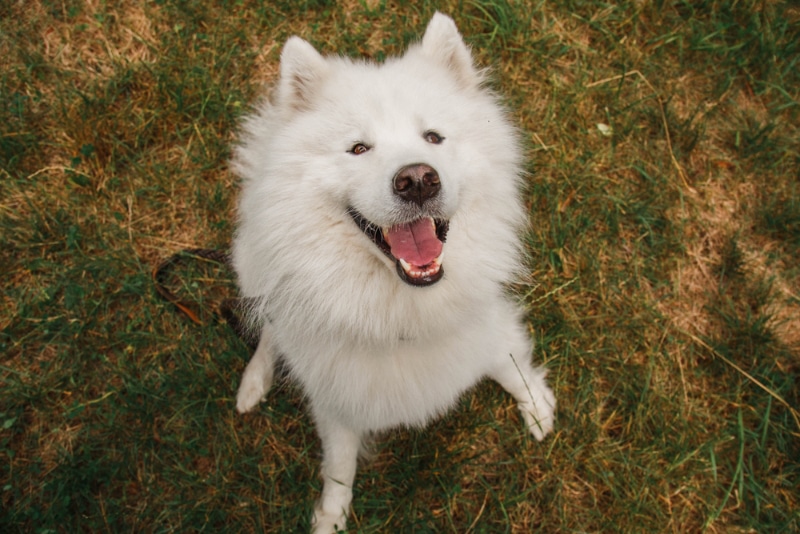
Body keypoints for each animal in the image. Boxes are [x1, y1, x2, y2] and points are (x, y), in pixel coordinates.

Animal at [231, 13, 556, 534]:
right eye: (358, 148)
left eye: (434, 138)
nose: (418, 179)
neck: (403, 311)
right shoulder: (337, 402)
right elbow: (338, 467)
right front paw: (331, 516)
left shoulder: (483, 328)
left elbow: (510, 362)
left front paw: (536, 402)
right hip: (250, 265)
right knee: (269, 328)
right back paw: (254, 382)